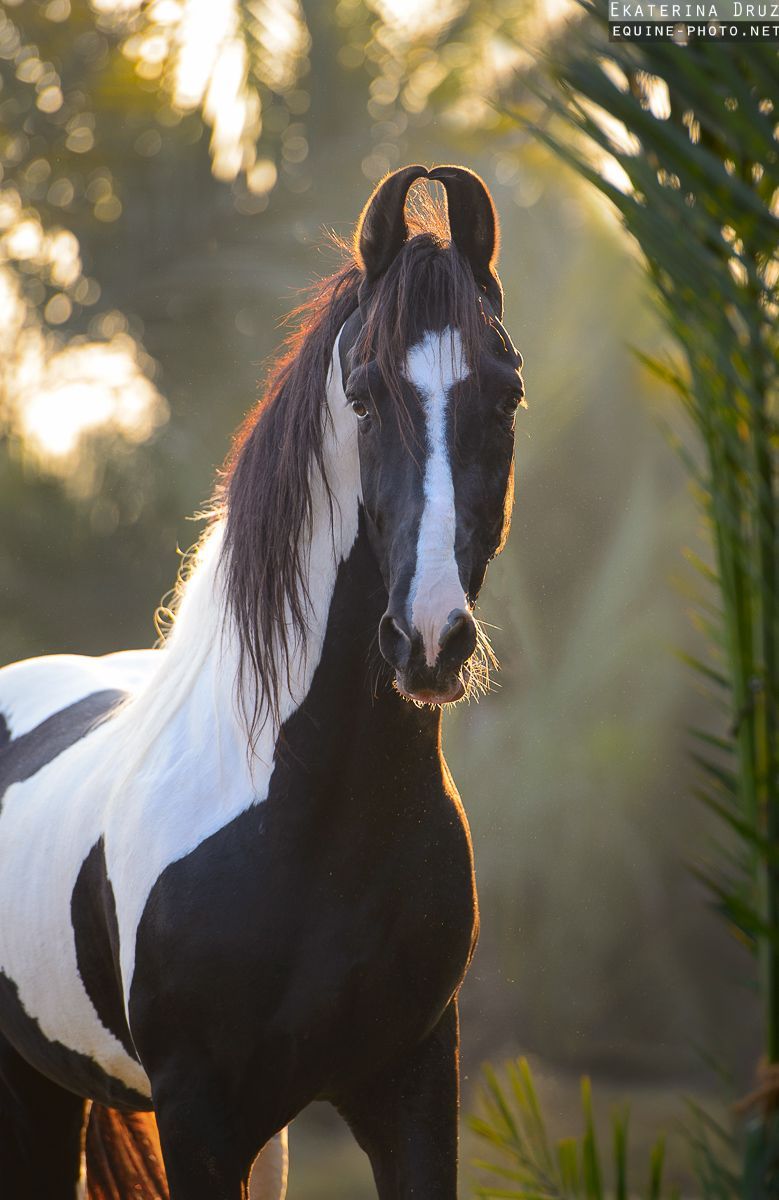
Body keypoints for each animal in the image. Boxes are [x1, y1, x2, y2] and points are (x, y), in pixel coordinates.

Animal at [0, 164, 524, 1200]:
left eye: (506, 395)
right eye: (362, 399)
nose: (429, 641)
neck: (303, 814)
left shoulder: (413, 1091)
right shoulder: (198, 1119)